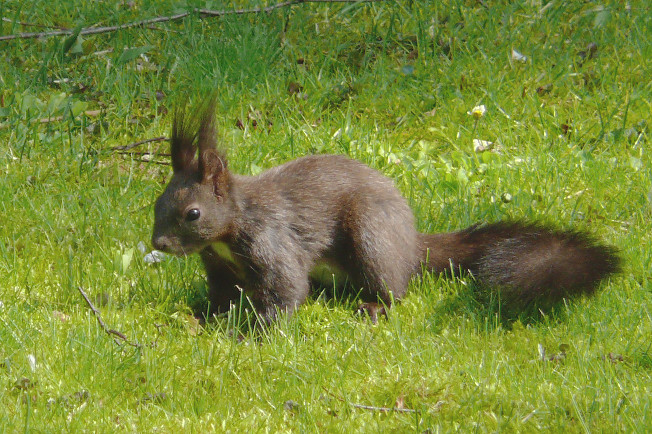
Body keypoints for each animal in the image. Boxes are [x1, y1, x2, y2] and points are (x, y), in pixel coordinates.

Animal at [152, 101, 620, 324]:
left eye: (193, 213)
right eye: (157, 203)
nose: (158, 243)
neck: (231, 225)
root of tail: (410, 243)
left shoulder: (271, 238)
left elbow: (287, 289)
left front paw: (251, 330)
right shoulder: (218, 265)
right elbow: (222, 295)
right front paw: (207, 318)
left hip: (370, 234)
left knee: (394, 289)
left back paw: (374, 307)